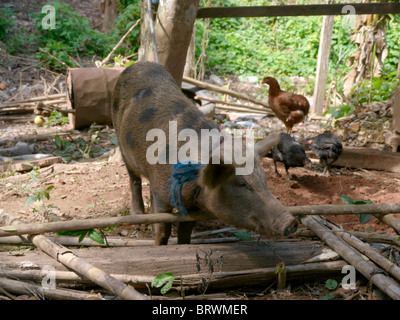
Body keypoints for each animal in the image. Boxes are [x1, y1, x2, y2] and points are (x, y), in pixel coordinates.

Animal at [111, 62, 298, 245]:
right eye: (241, 183)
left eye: (264, 180)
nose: (292, 222)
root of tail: (138, 64)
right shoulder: (162, 191)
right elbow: (163, 230)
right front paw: (158, 243)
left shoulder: (194, 206)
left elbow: (185, 231)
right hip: (121, 142)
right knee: (134, 179)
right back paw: (139, 217)